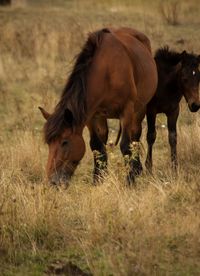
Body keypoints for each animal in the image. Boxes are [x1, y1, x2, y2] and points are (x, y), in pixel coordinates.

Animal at [39, 27, 158, 185]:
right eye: (48, 143)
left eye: (65, 142)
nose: (52, 181)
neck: (107, 71)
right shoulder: (92, 115)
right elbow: (96, 146)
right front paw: (97, 180)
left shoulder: (127, 111)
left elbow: (125, 145)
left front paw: (130, 180)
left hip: (139, 109)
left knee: (135, 136)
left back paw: (136, 169)